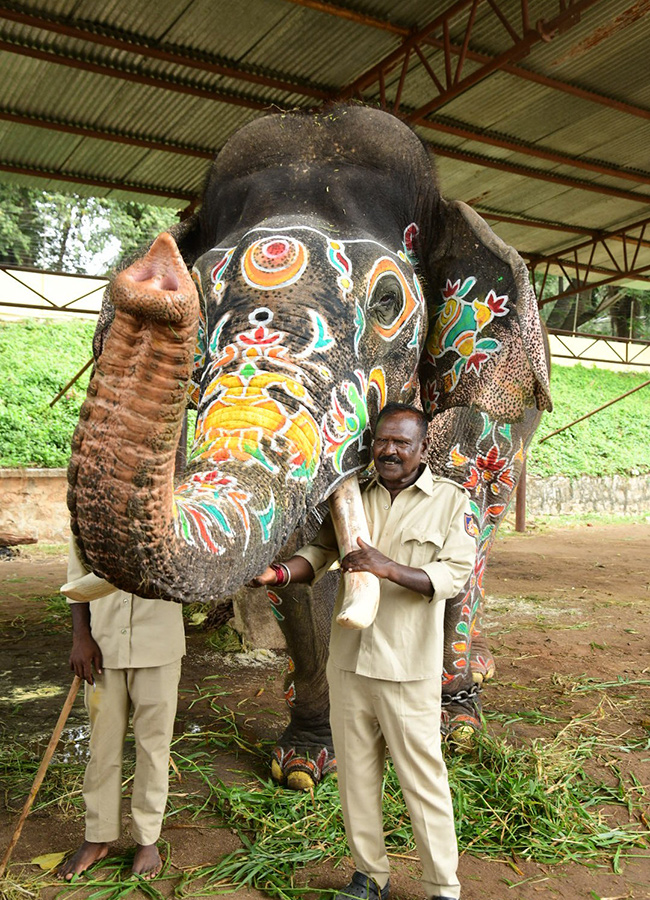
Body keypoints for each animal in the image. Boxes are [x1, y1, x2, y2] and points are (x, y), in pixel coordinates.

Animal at [68, 104, 552, 790]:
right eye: (197, 292)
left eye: (387, 302)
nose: (150, 278)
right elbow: (299, 565)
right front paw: (301, 764)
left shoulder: (479, 399)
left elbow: (464, 524)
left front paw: (456, 729)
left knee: (488, 529)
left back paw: (474, 673)